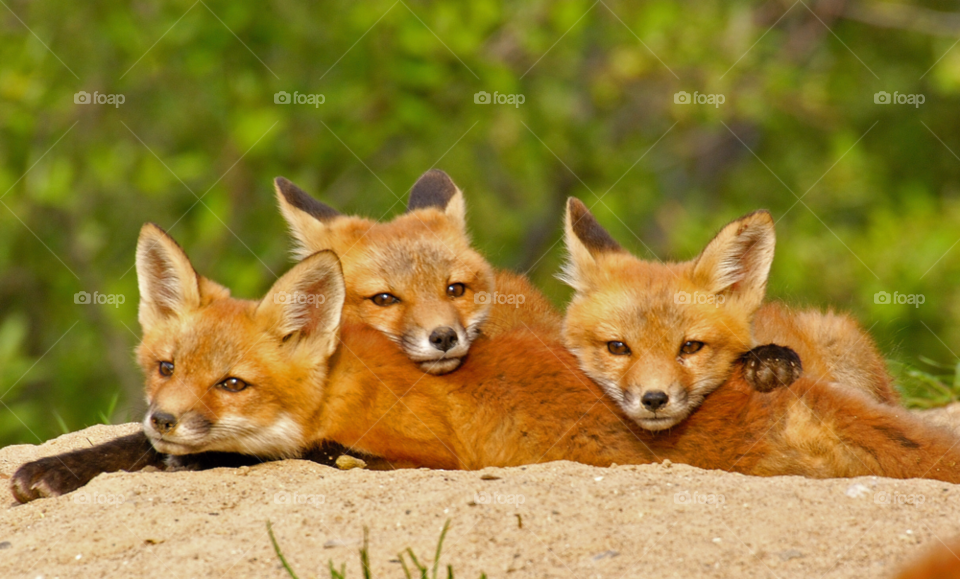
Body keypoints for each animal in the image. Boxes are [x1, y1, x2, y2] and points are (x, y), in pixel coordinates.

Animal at [11, 224, 960, 503]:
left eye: (232, 381)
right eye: (163, 367)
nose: (167, 414)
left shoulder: (413, 450)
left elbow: (241, 459)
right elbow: (126, 449)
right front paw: (53, 469)